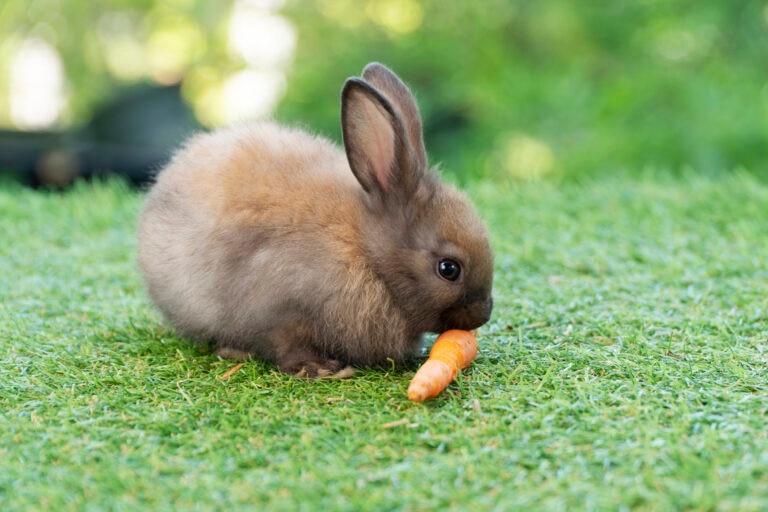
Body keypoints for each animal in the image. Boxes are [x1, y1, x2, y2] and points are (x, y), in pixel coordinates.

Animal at [137, 62, 494, 378]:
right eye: (449, 269)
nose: (484, 313)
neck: (365, 250)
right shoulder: (282, 312)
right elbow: (288, 343)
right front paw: (321, 370)